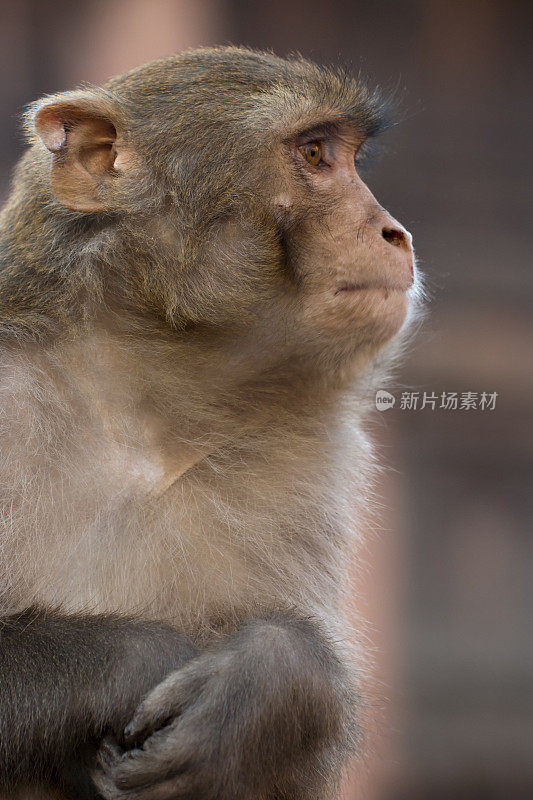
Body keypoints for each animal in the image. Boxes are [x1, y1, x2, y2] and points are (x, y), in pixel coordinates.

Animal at [0, 47, 416, 796]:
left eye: (346, 156)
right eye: (315, 154)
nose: (392, 231)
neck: (141, 406)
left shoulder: (311, 462)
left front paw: (265, 682)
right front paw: (134, 659)